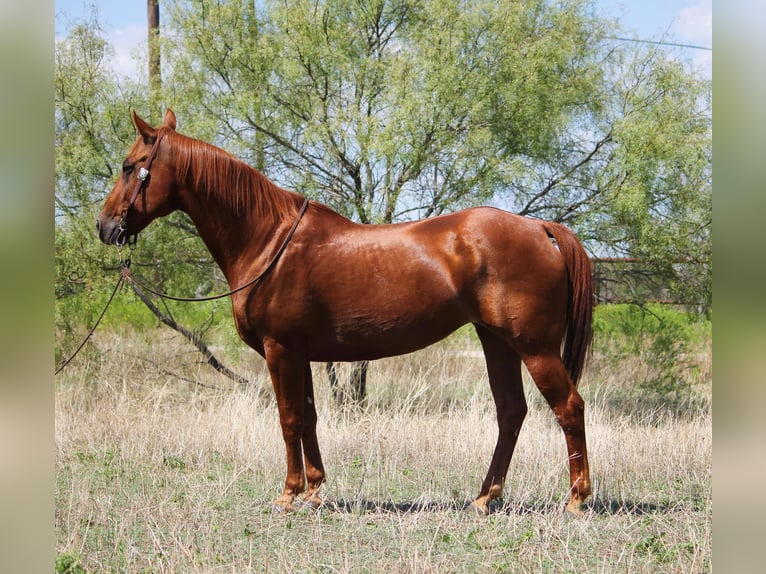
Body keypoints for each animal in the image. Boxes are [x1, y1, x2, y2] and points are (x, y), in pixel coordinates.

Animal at [96, 109, 596, 516]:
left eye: (128, 166)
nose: (104, 227)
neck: (267, 240)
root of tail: (539, 226)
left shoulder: (280, 351)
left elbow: (288, 419)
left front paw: (289, 494)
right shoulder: (300, 354)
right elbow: (309, 417)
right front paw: (316, 491)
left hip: (534, 348)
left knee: (568, 407)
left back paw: (575, 499)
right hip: (497, 343)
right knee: (511, 413)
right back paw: (484, 498)